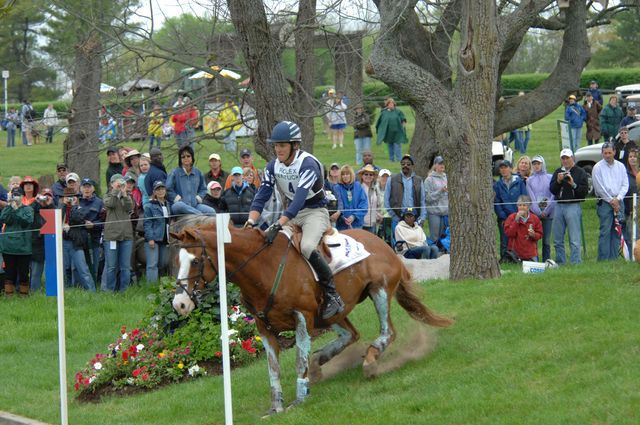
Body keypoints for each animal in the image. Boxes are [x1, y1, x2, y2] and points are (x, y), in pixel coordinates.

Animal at [168, 220, 452, 412]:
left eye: (195, 261)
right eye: (175, 262)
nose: (179, 304)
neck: (261, 268)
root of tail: (385, 244)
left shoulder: (302, 317)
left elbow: (298, 360)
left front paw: (300, 398)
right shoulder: (264, 327)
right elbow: (273, 369)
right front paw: (276, 407)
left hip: (379, 290)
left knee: (387, 332)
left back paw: (370, 361)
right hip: (331, 313)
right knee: (351, 334)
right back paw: (319, 363)